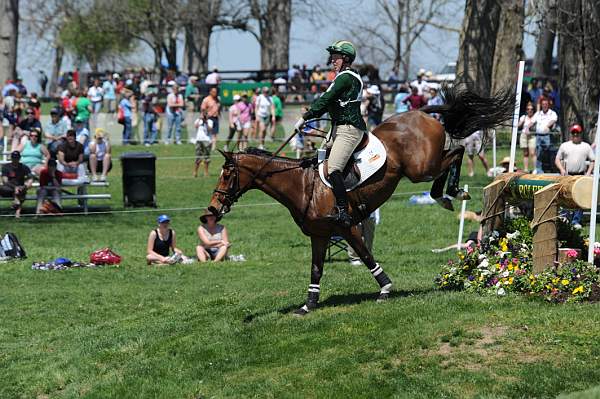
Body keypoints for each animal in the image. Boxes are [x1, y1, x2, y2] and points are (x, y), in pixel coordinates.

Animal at [209, 84, 512, 316]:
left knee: (457, 152)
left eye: (227, 175)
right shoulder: (319, 235)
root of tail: (419, 113)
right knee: (455, 153)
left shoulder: (347, 227)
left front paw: (385, 288)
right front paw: (308, 305)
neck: (303, 185)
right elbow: (316, 270)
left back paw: (449, 194)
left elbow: (366, 256)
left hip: (421, 168)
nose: (213, 208)